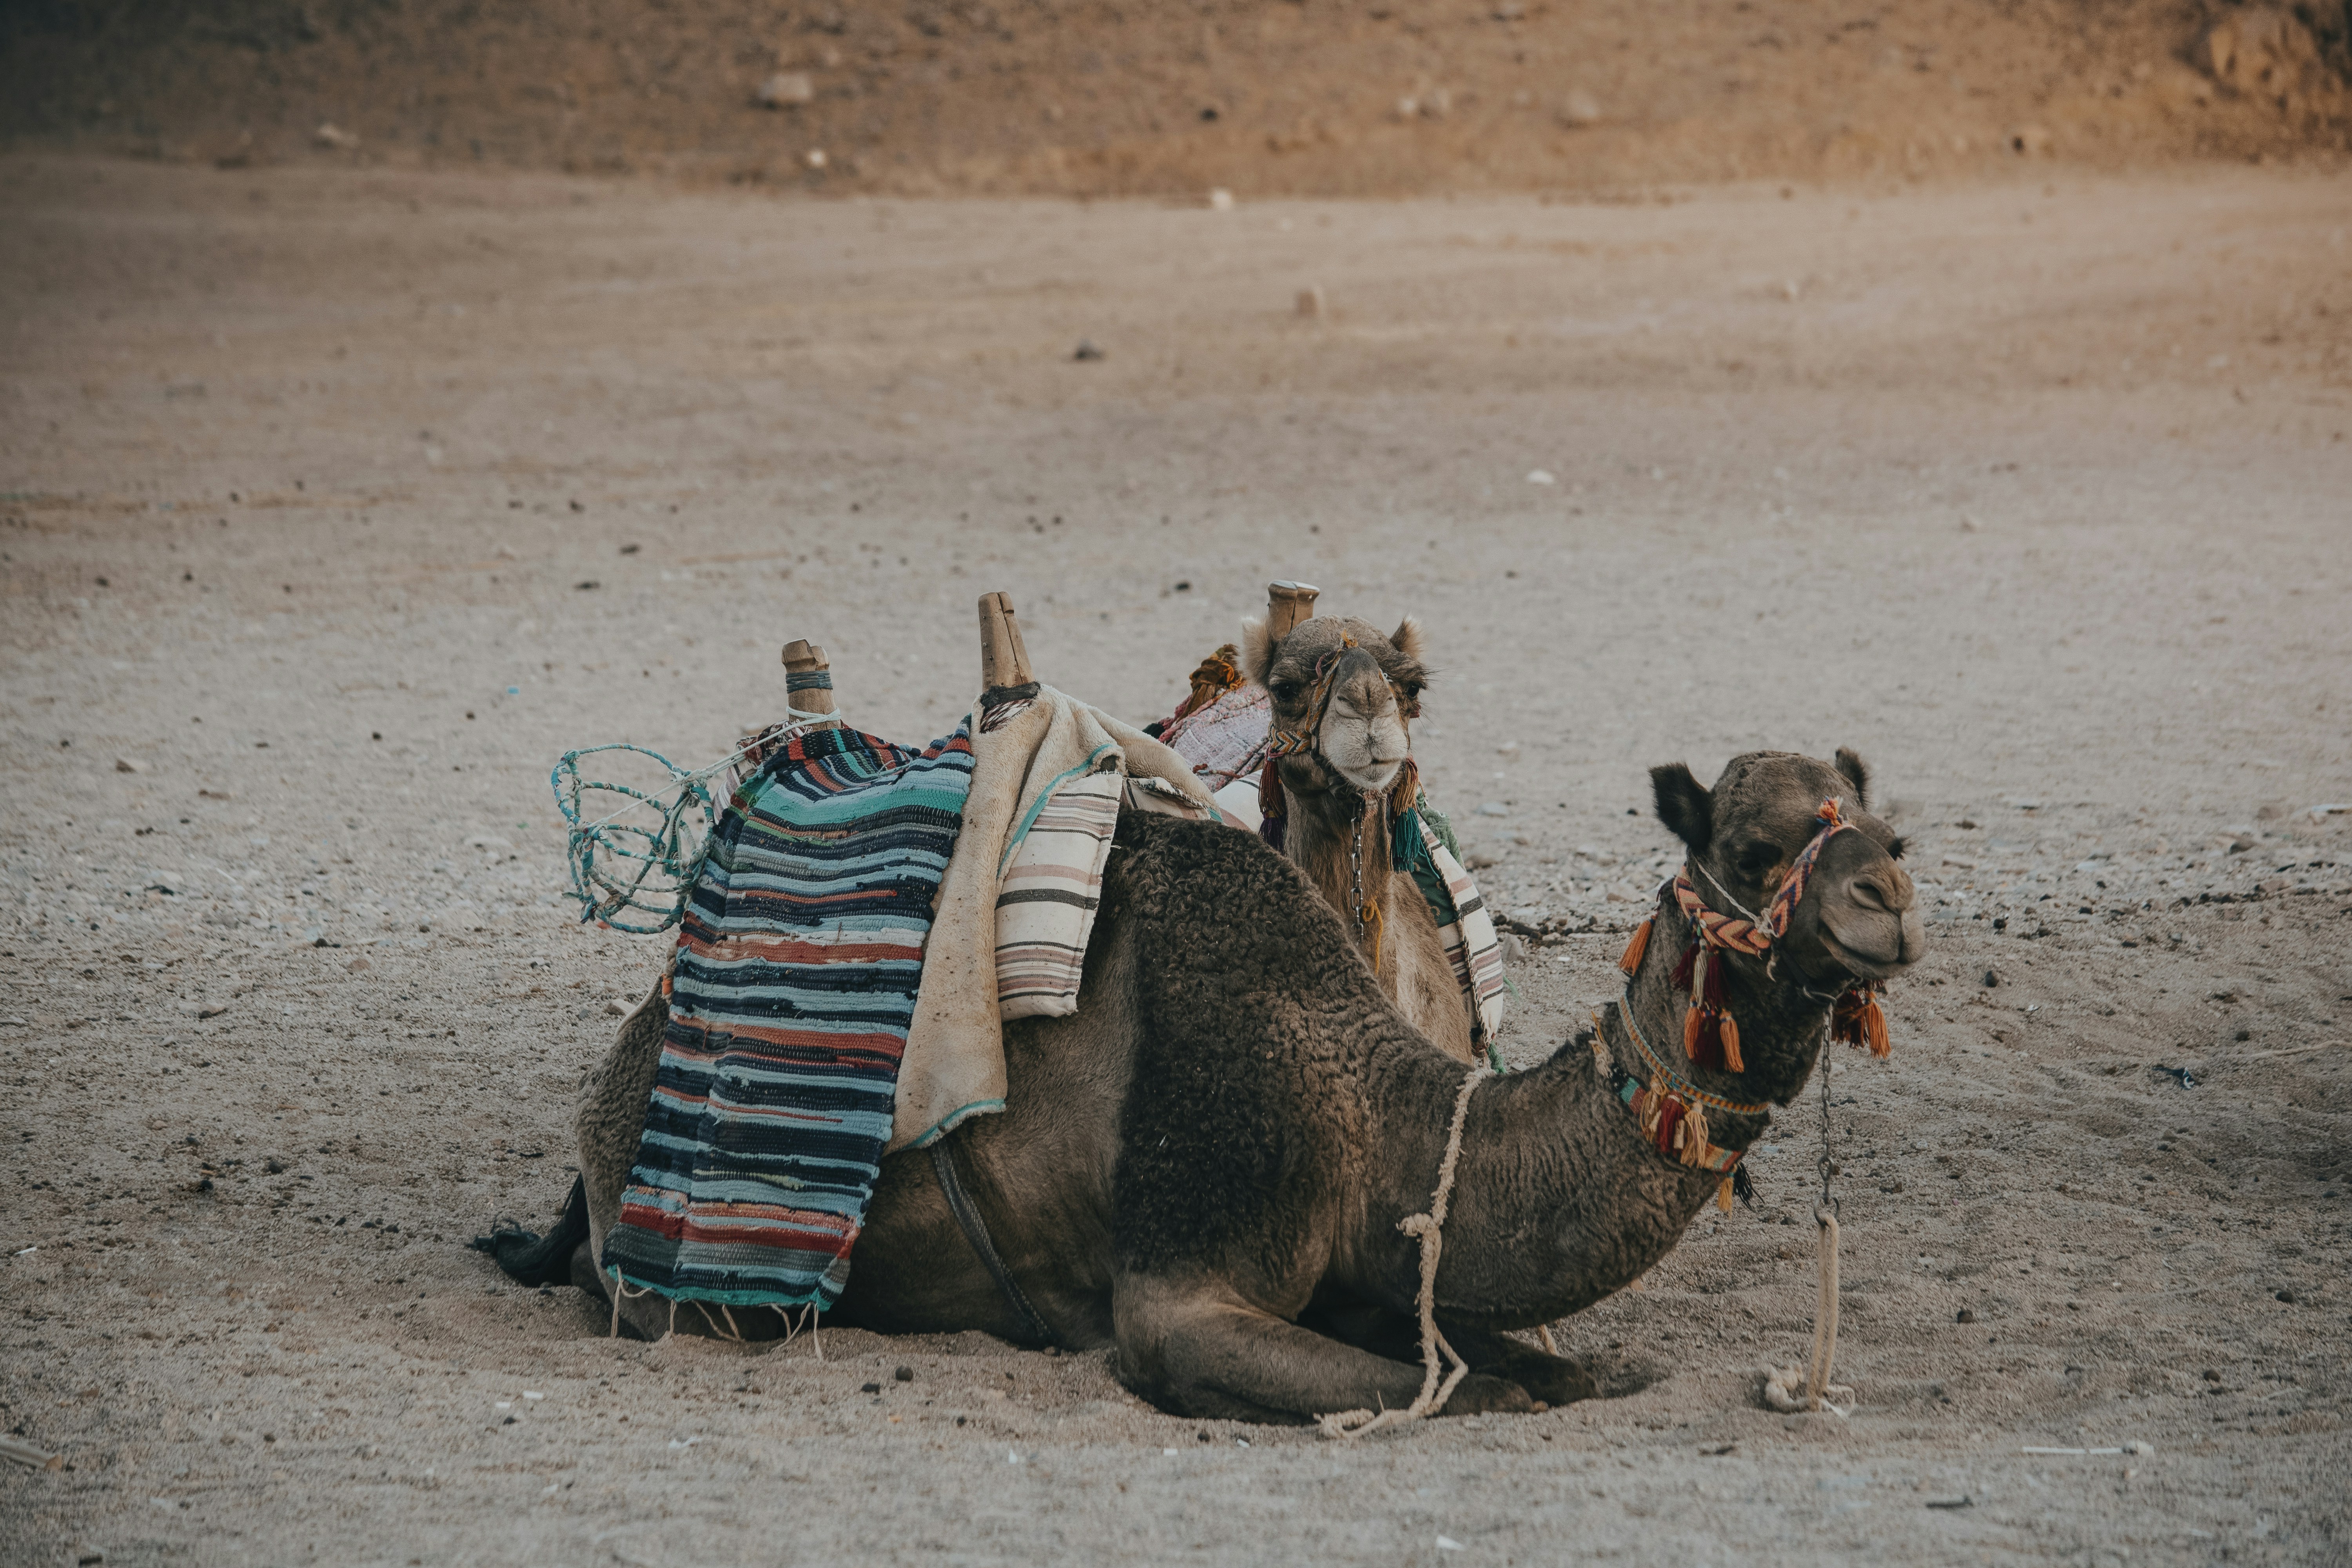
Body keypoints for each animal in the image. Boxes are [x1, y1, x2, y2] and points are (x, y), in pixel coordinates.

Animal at [489, 739, 1923, 1424]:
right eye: (1754, 846)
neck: (1375, 1108)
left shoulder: (1370, 1269)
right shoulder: (1183, 1285)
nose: (1887, 907)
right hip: (685, 1271)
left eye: (1891, 832)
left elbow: (1547, 1366)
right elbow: (1464, 1389)